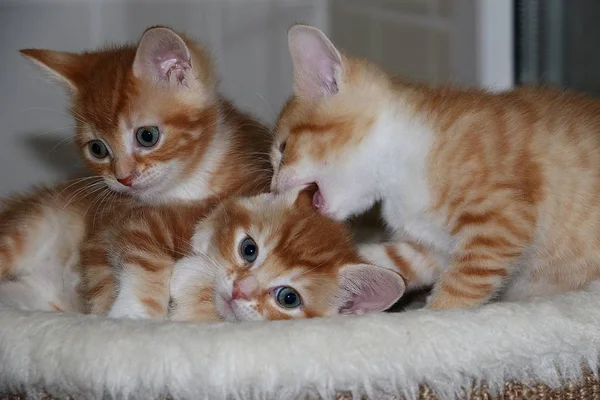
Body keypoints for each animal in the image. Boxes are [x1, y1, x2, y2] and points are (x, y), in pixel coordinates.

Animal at [0, 25, 272, 312]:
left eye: (147, 136)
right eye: (97, 149)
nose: (123, 178)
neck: (186, 184)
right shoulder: (104, 228)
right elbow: (107, 278)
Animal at [274, 24, 600, 310]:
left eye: (283, 148)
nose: (274, 189)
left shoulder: (503, 221)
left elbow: (462, 285)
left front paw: (435, 312)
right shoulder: (432, 248)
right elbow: (393, 261)